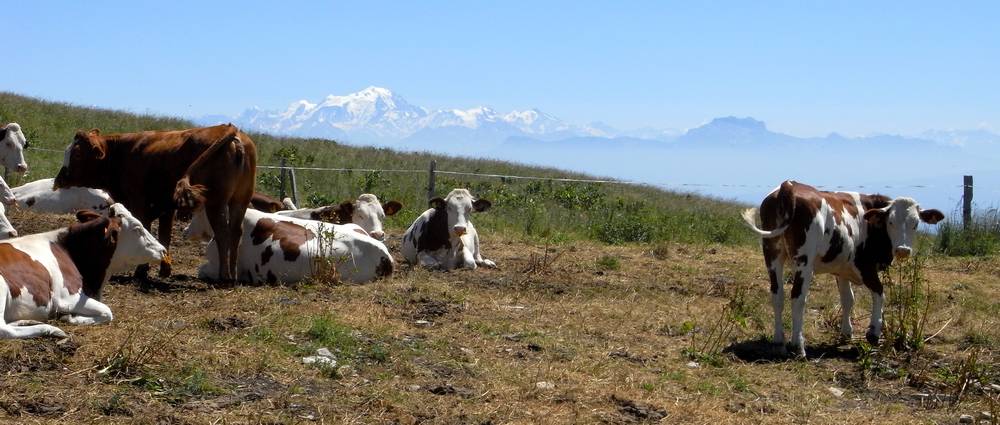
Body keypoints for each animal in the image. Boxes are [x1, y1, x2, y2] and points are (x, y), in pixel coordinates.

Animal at [0, 204, 166, 339]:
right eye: (137, 228)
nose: (163, 250)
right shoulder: (67, 299)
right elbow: (107, 312)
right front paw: (70, 318)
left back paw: (25, 321)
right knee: (4, 330)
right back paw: (51, 329)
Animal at [54, 124, 257, 280]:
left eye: (77, 155)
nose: (59, 179)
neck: (121, 154)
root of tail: (230, 130)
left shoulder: (138, 202)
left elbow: (146, 227)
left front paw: (141, 269)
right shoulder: (166, 208)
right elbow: (164, 235)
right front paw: (164, 268)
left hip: (217, 202)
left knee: (222, 232)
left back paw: (224, 276)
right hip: (240, 200)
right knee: (236, 232)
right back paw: (234, 274)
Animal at [741, 180, 944, 357]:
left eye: (915, 224)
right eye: (891, 222)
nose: (903, 250)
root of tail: (789, 185)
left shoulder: (842, 269)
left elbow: (848, 299)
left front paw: (847, 332)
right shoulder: (865, 266)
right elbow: (880, 293)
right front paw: (873, 332)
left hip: (772, 253)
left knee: (777, 296)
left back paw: (778, 343)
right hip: (804, 261)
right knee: (797, 298)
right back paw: (798, 346)